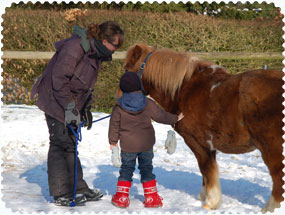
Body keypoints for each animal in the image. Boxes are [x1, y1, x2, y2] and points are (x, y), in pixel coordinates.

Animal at [118, 42, 282, 212]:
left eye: (127, 69)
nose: (119, 98)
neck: (186, 89)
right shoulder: (209, 146)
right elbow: (206, 173)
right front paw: (203, 196)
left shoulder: (199, 144)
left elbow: (207, 170)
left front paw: (210, 202)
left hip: (272, 148)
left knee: (278, 178)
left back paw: (271, 209)